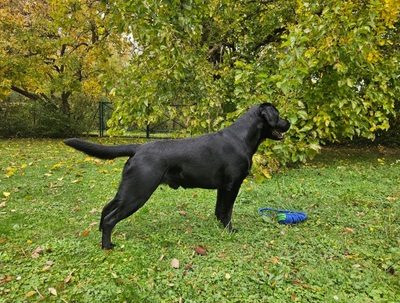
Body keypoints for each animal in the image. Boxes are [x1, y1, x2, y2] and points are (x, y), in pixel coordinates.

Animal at [65, 103, 290, 251]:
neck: (242, 137)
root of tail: (138, 148)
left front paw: (219, 227)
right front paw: (230, 230)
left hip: (128, 189)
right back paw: (107, 246)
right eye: (278, 115)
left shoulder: (222, 187)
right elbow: (227, 211)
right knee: (111, 218)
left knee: (106, 209)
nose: (289, 122)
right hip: (138, 192)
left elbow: (219, 210)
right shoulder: (231, 185)